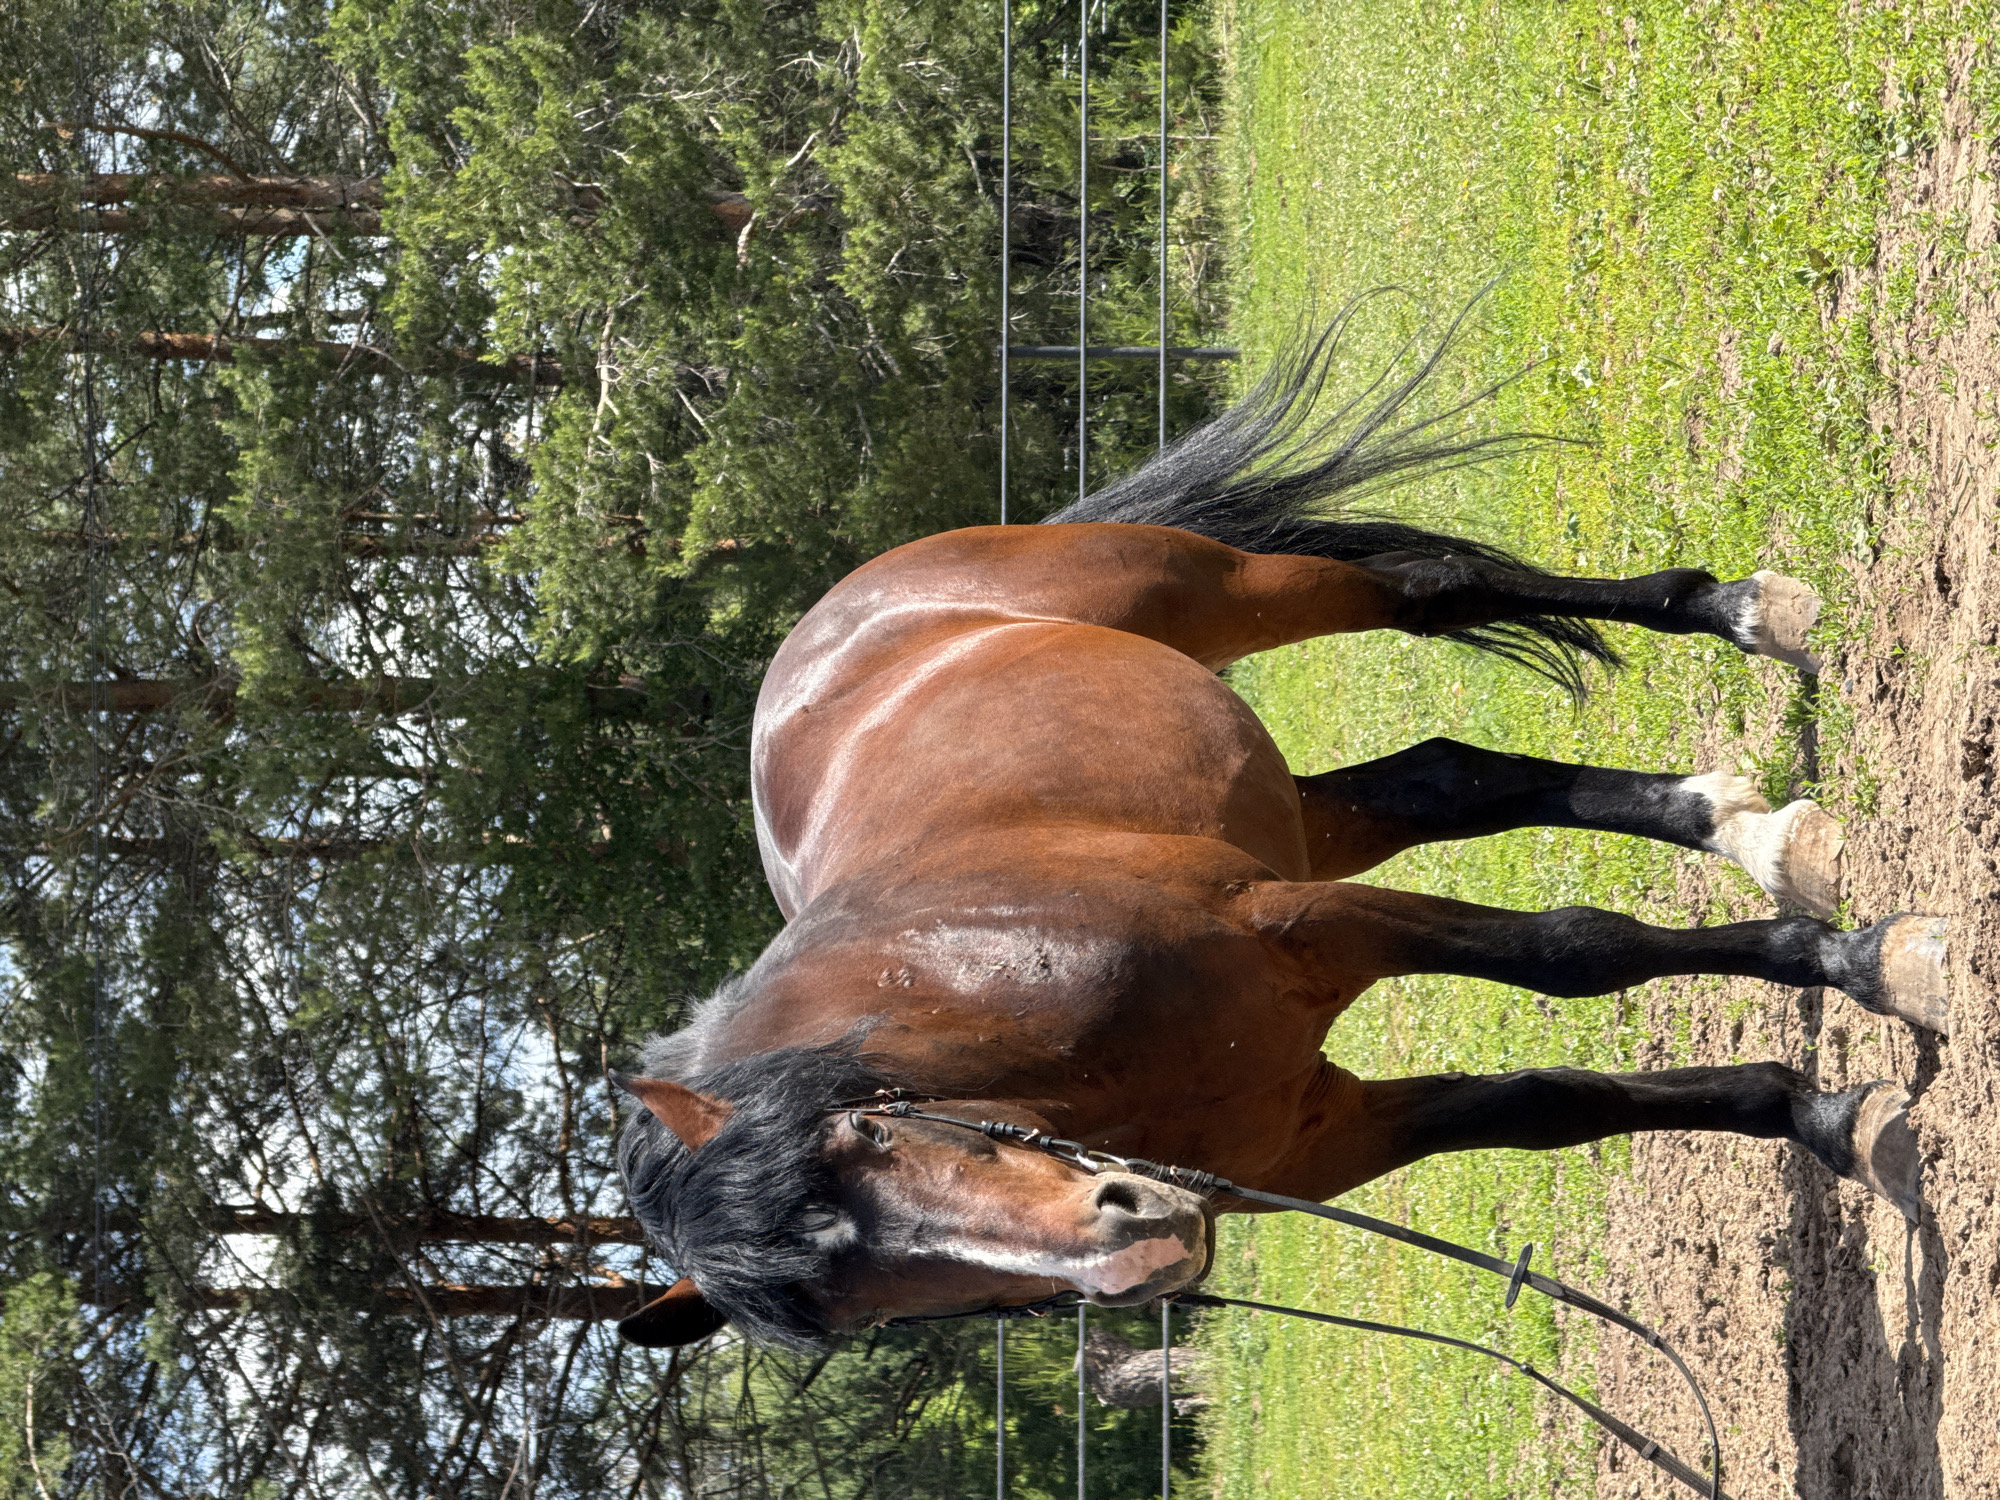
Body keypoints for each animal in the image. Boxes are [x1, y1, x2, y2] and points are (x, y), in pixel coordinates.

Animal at [610, 314, 1947, 1351]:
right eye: (878, 1311)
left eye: (871, 1134)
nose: (1135, 1252)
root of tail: (850, 605)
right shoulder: (1321, 1137)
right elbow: (1550, 1103)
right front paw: (1822, 1118)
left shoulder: (1306, 921)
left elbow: (1571, 952)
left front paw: (1864, 963)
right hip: (1303, 814)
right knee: (1448, 779)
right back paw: (1739, 826)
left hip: (1232, 591)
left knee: (1432, 596)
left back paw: (1744, 616)